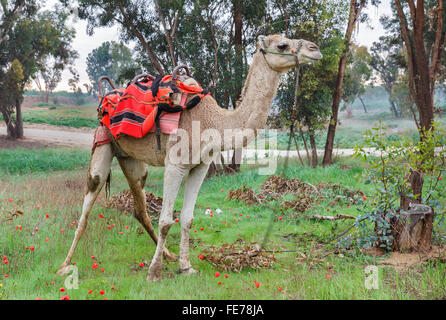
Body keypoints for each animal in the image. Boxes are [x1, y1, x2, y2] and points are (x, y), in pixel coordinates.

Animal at [56, 33, 320, 282]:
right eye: (282, 45)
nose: (315, 49)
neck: (214, 122)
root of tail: (108, 94)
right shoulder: (175, 164)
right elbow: (166, 221)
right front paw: (154, 273)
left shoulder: (201, 166)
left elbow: (187, 218)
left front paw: (186, 267)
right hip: (103, 142)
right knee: (88, 202)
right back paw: (64, 265)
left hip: (130, 158)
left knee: (139, 206)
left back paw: (169, 255)